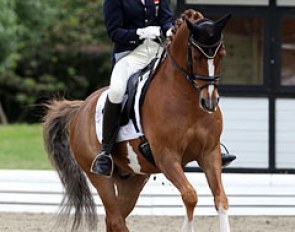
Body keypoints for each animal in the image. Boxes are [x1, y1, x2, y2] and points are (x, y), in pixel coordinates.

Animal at [43, 9, 231, 232]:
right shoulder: (167, 157)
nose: (209, 102)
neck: (187, 102)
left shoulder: (209, 153)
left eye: (222, 54)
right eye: (195, 56)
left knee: (115, 219)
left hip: (132, 179)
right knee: (116, 219)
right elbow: (190, 196)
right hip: (99, 175)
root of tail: (82, 107)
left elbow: (220, 199)